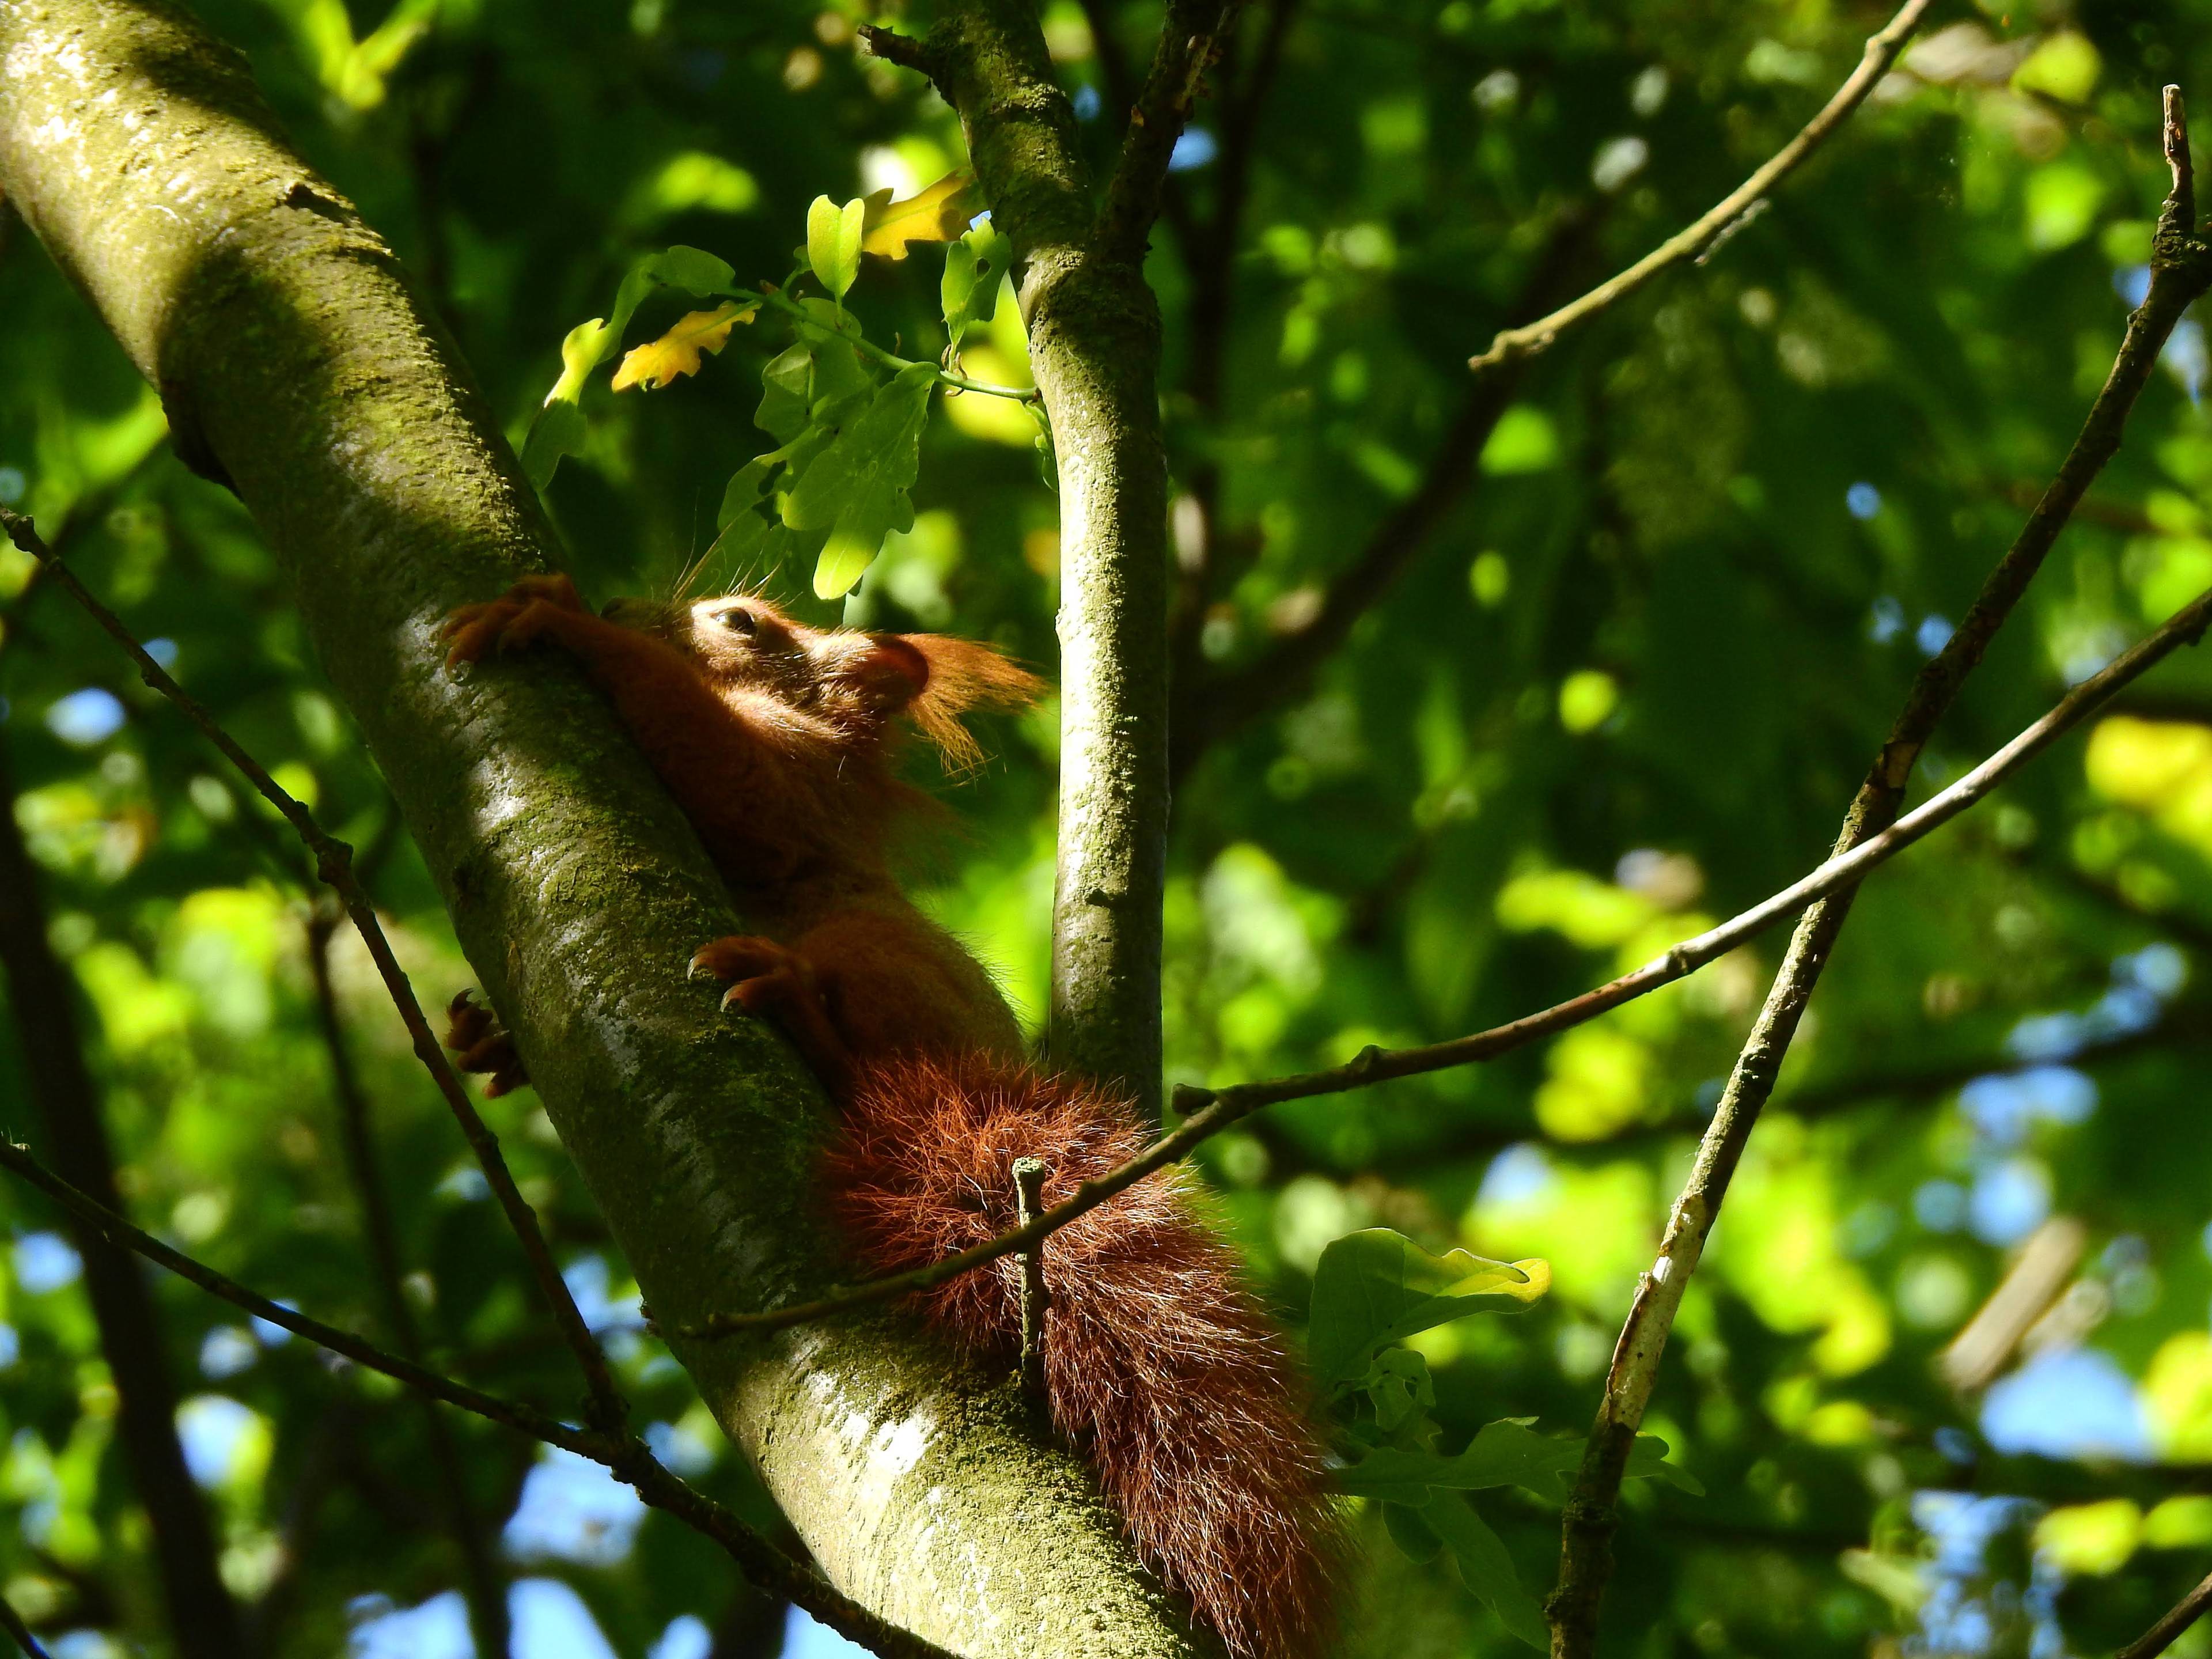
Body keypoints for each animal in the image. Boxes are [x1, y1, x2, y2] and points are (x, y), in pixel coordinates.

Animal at [440, 579, 1336, 1654]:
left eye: (741, 621)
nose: (630, 601)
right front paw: (490, 1040)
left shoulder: (795, 792)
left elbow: (737, 782)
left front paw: (561, 616)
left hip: (872, 957)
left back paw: (791, 1003)